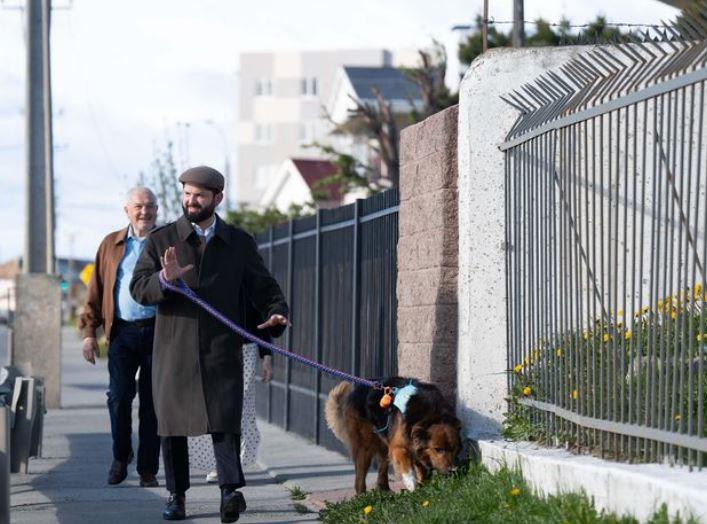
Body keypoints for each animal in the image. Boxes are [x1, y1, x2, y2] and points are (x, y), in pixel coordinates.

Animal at [324, 376, 462, 492]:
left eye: (456, 449)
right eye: (438, 449)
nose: (453, 471)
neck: (431, 416)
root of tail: (357, 390)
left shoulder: (414, 445)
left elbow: (421, 468)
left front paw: (422, 485)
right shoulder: (398, 447)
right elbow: (407, 467)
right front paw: (411, 484)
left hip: (384, 445)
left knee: (382, 471)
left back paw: (385, 490)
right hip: (365, 447)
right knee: (359, 479)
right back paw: (362, 497)